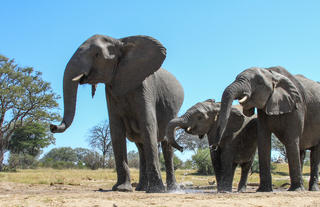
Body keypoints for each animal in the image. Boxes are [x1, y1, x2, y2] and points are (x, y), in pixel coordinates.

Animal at [50, 34, 185, 193]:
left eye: (97, 54)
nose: (52, 126)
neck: (120, 42)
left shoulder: (145, 87)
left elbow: (148, 125)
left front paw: (156, 190)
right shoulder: (110, 90)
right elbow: (116, 130)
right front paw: (122, 189)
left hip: (172, 109)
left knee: (166, 144)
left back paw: (170, 189)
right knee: (141, 147)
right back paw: (141, 188)